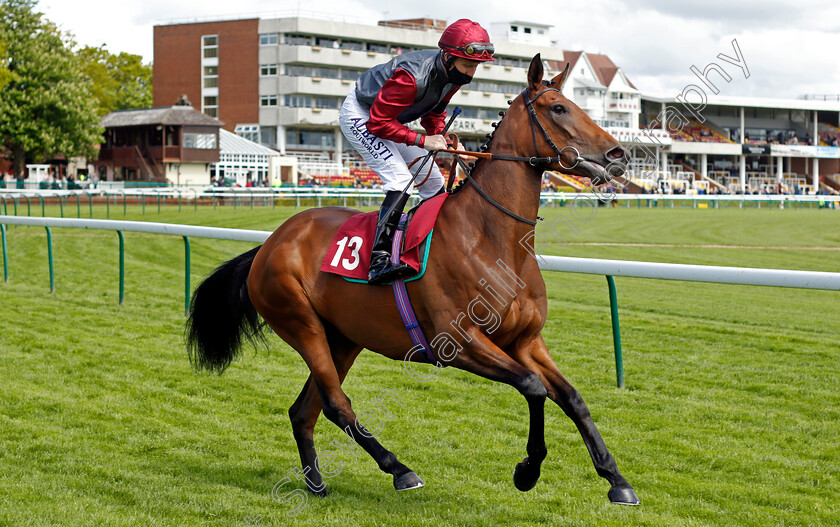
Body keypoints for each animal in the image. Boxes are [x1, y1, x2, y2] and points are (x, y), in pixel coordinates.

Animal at [185, 54, 644, 508]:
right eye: (559, 108)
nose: (618, 154)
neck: (493, 239)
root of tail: (268, 244)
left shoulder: (526, 341)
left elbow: (572, 397)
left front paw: (616, 478)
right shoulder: (458, 343)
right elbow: (534, 389)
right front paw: (527, 470)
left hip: (344, 337)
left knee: (304, 410)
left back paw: (316, 483)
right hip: (302, 325)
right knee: (335, 404)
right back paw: (400, 470)